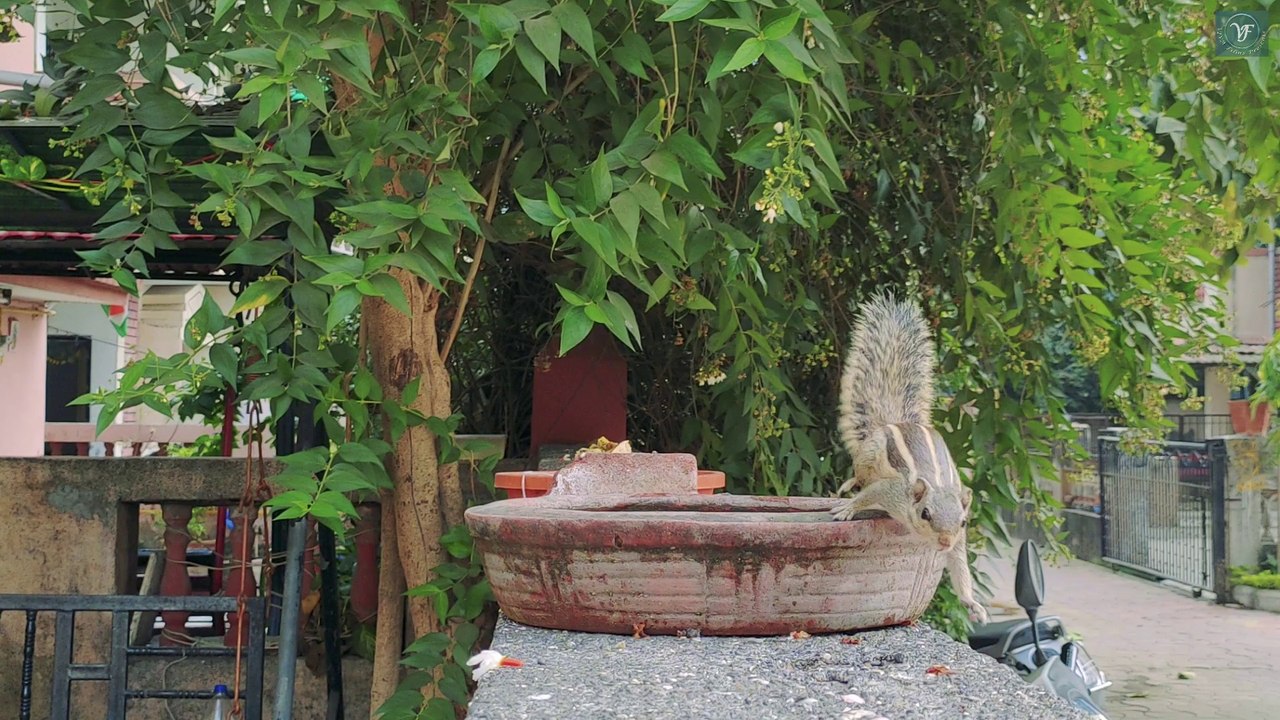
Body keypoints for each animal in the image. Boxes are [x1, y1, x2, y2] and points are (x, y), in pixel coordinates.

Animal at [828, 291, 988, 624]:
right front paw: (847, 509)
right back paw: (849, 484)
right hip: (869, 455)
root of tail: (893, 422)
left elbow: (960, 566)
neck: (938, 486)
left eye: (963, 522)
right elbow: (870, 493)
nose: (944, 541)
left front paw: (972, 603)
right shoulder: (893, 490)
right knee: (861, 474)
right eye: (925, 513)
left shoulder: (959, 540)